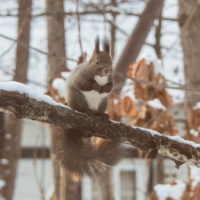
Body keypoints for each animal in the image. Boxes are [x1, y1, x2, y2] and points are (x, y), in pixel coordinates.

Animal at [53, 38, 128, 176]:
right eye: (97, 62)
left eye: (111, 62)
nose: (107, 70)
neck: (101, 78)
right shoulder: (81, 77)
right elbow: (84, 84)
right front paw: (97, 87)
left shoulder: (111, 79)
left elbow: (111, 86)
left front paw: (105, 88)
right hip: (77, 97)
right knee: (79, 108)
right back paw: (86, 111)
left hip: (103, 103)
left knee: (98, 112)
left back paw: (102, 115)